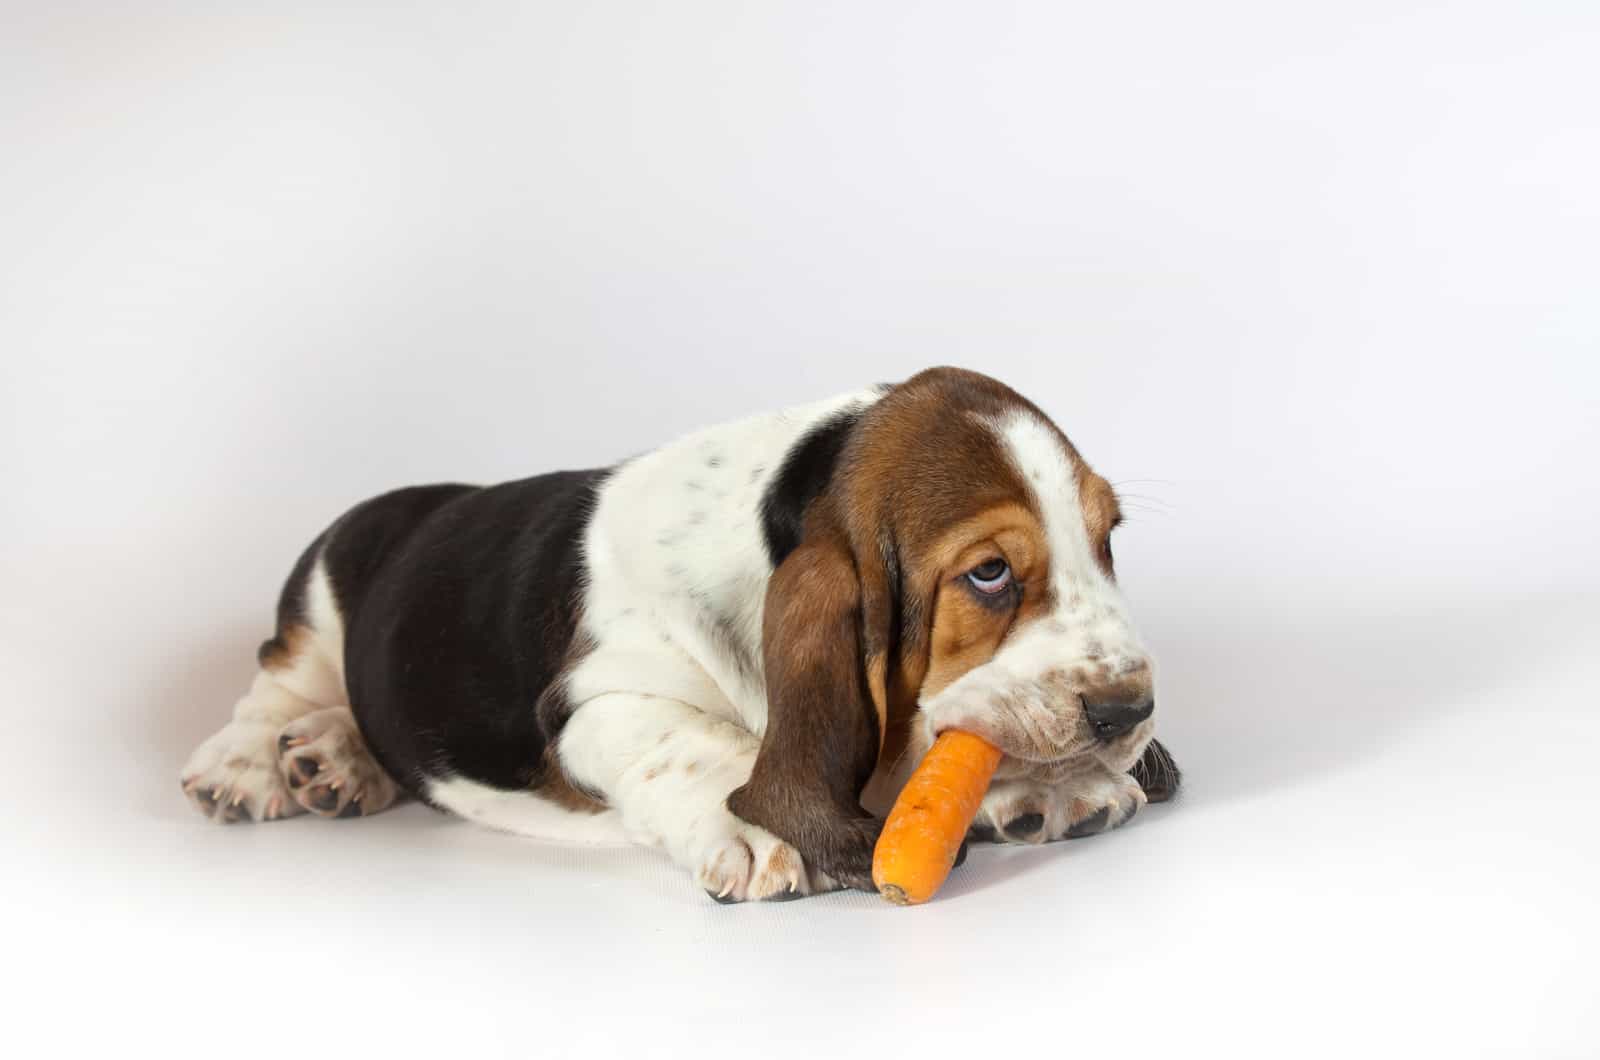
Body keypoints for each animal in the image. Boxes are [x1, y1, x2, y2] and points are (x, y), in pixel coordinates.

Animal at [181, 369, 1184, 903]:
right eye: (989, 574)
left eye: (1106, 537)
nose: (1128, 709)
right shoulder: (599, 701)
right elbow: (701, 745)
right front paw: (760, 830)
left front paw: (1049, 789)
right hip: (320, 596)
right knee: (273, 685)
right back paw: (253, 765)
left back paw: (334, 760)